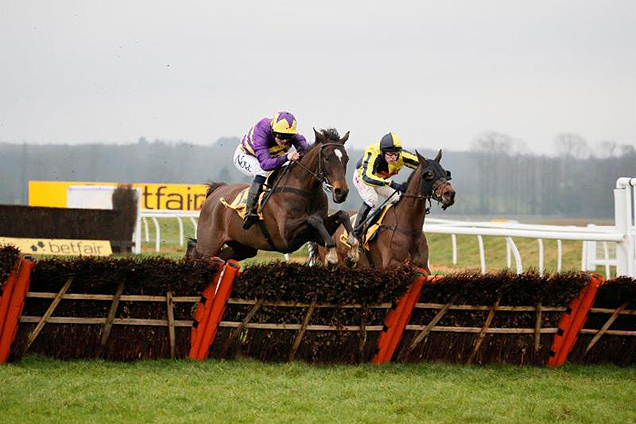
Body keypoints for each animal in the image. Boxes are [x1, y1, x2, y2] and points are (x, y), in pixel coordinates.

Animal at [186, 127, 360, 264]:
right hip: (209, 243)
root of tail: (216, 192)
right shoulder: (287, 234)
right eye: (327, 157)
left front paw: (353, 248)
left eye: (346, 159)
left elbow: (342, 214)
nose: (341, 192)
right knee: (197, 252)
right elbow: (314, 219)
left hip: (243, 247)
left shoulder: (314, 232)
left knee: (218, 256)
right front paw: (332, 254)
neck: (304, 189)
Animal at [310, 150, 454, 272]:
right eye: (429, 174)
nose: (450, 194)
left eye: (445, 172)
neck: (408, 227)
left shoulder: (424, 265)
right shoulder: (390, 264)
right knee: (370, 201)